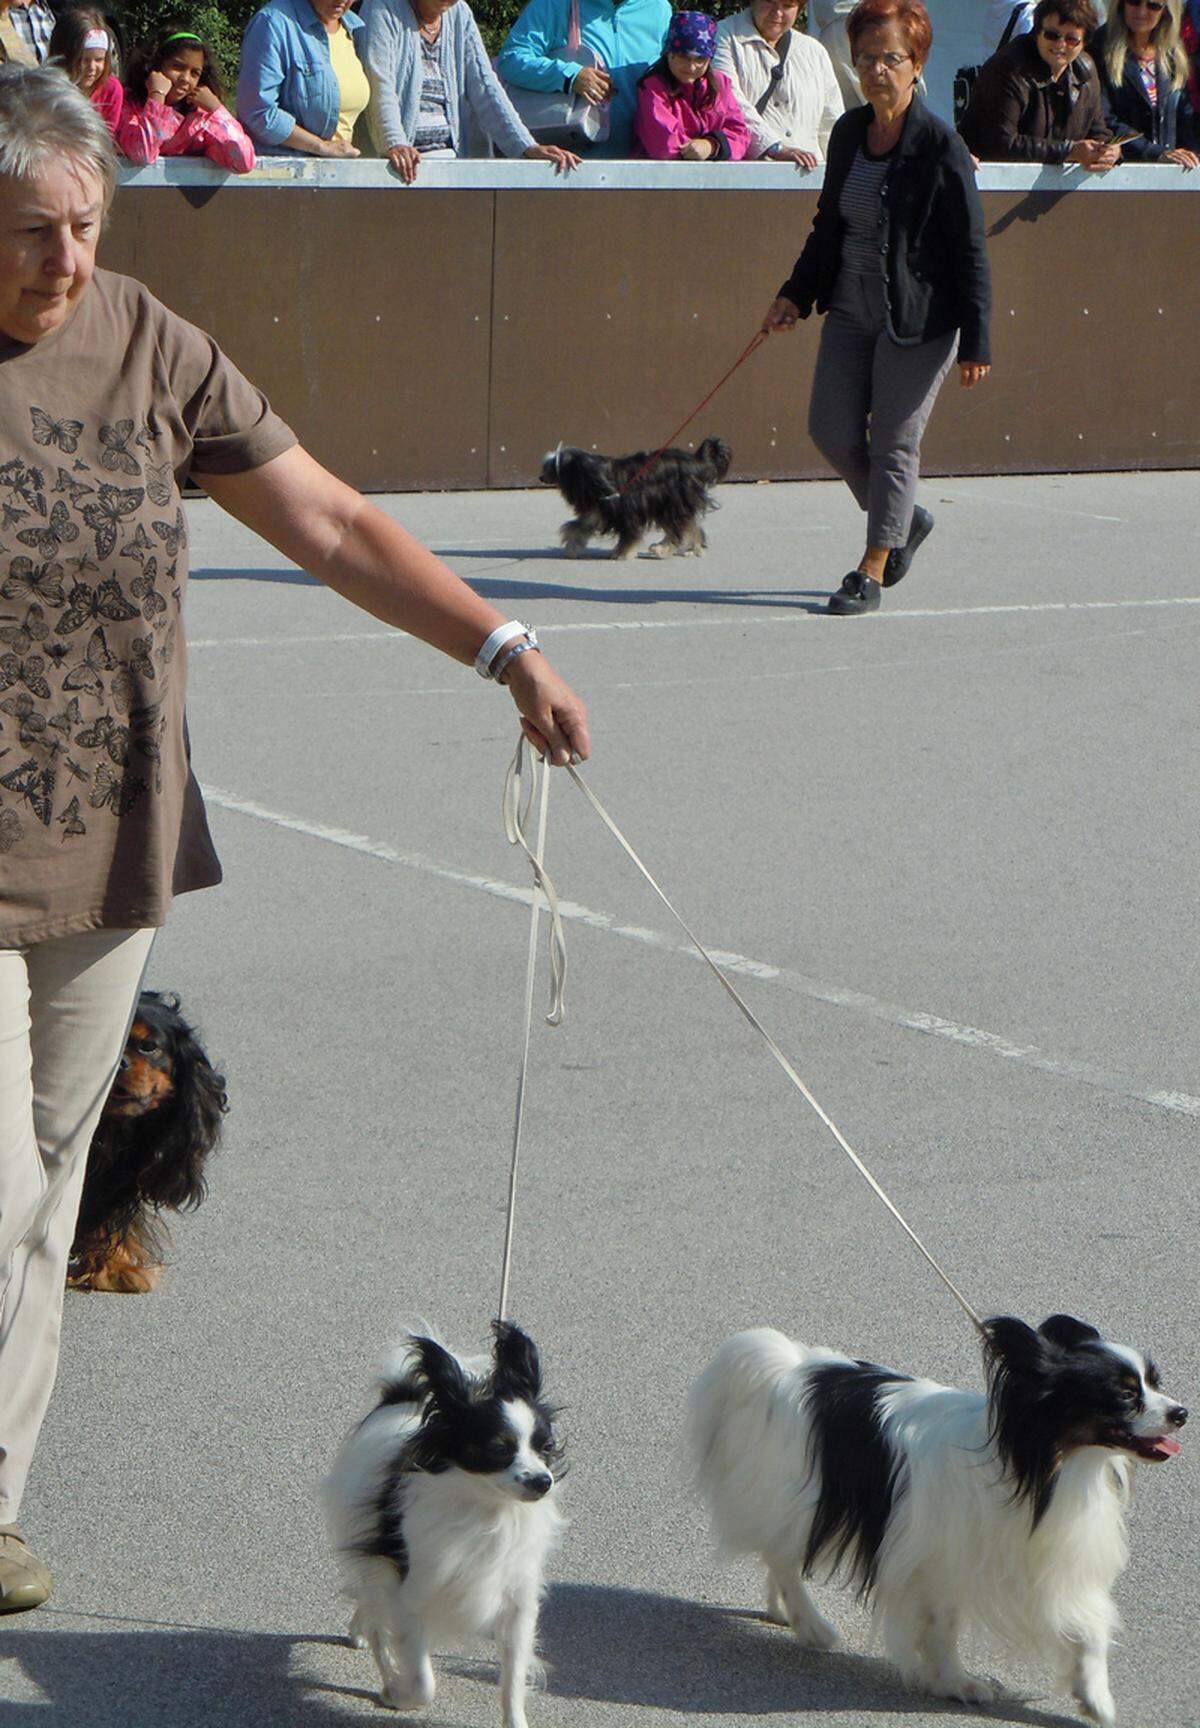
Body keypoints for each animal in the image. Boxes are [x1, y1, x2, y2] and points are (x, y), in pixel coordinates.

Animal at [325, 1313, 567, 1721]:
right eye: (498, 1449)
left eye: (545, 1447)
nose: (542, 1481)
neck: (487, 1510)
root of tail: (402, 1397)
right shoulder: (412, 1594)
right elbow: (424, 1683)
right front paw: (398, 1692)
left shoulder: (518, 1605)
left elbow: (513, 1681)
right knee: (375, 1607)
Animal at [542, 435, 733, 563]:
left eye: (551, 467)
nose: (540, 477)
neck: (594, 475)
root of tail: (696, 461)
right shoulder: (596, 512)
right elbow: (577, 528)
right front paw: (572, 547)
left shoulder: (626, 513)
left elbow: (630, 536)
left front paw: (622, 554)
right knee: (690, 526)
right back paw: (692, 548)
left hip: (671, 504)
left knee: (680, 529)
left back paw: (666, 549)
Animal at [691, 1313, 1189, 1721]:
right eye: (1125, 1394)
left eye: (1154, 1382)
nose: (1182, 1413)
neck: (1041, 1465)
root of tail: (787, 1366)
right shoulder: (940, 1563)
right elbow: (942, 1628)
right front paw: (956, 1684)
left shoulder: (1049, 1566)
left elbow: (1090, 1630)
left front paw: (1095, 1699)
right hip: (801, 1496)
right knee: (781, 1557)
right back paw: (812, 1625)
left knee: (778, 1552)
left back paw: (781, 1612)